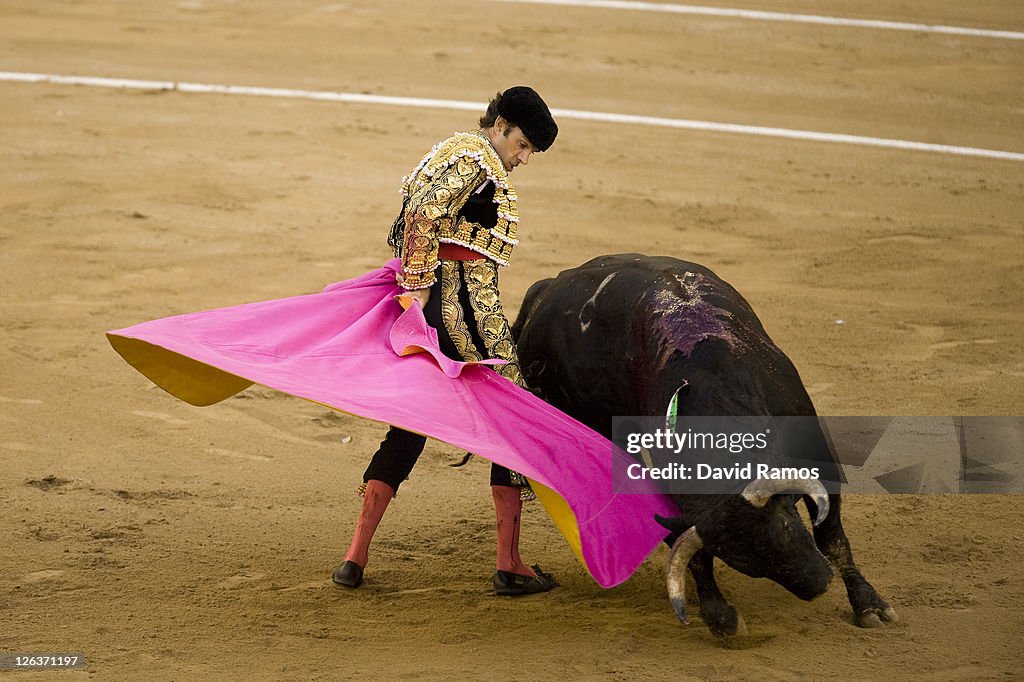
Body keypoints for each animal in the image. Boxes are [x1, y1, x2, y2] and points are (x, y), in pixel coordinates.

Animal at [512, 251, 897, 634]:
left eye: (787, 528)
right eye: (745, 563)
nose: (818, 585)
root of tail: (548, 287)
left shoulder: (817, 456)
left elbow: (832, 537)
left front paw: (870, 605)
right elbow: (692, 552)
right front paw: (720, 615)